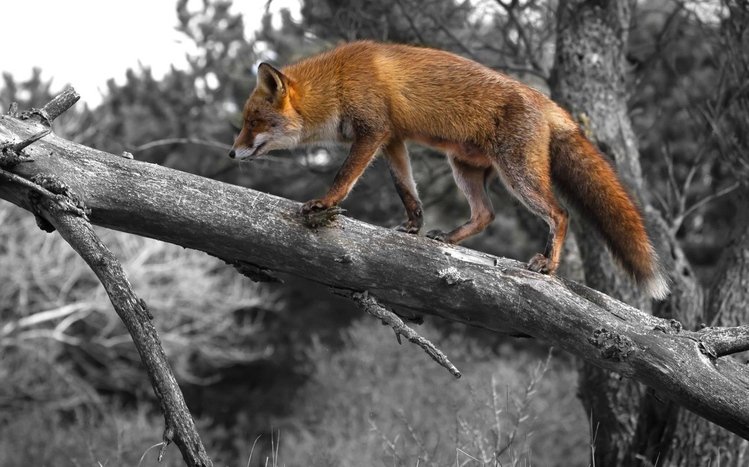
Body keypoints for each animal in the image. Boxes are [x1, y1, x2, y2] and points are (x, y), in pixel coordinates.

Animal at [229, 41, 669, 299]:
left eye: (253, 122)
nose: (232, 154)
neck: (337, 82)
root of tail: (546, 102)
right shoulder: (393, 139)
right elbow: (407, 189)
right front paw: (413, 226)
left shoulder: (373, 132)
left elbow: (344, 177)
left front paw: (324, 203)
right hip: (464, 168)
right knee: (486, 214)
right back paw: (450, 239)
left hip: (518, 176)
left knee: (559, 213)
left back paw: (548, 265)